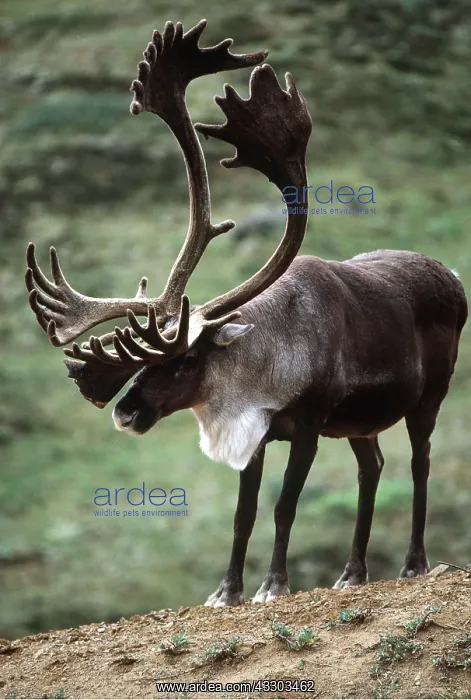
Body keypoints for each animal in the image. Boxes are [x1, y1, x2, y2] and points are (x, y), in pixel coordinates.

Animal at [25, 20, 467, 607]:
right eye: (144, 365)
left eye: (185, 362)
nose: (124, 412)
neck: (264, 361)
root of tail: (452, 277)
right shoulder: (254, 432)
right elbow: (243, 514)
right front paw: (226, 591)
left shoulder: (308, 424)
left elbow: (284, 505)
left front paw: (272, 585)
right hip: (360, 421)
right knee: (372, 467)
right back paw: (352, 572)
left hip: (428, 396)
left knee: (419, 464)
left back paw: (413, 563)